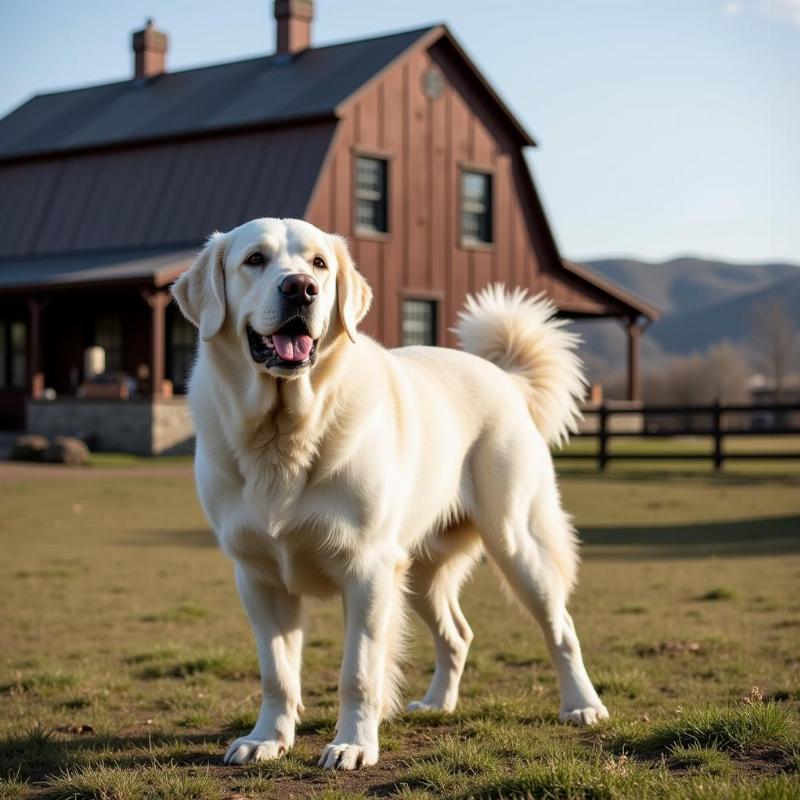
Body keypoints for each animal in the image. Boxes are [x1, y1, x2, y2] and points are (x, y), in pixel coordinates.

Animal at [170, 217, 608, 768]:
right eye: (254, 259)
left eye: (319, 264)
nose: (301, 289)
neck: (286, 432)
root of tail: (505, 377)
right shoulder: (259, 577)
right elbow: (277, 674)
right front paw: (267, 738)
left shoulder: (368, 570)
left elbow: (358, 672)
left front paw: (353, 745)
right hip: (419, 572)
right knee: (458, 635)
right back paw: (438, 703)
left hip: (517, 544)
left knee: (561, 629)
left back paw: (582, 706)